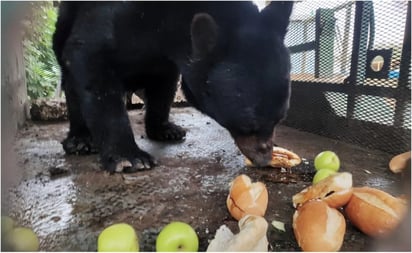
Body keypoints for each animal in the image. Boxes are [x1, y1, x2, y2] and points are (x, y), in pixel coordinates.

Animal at [53, 0, 294, 173]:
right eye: (247, 125)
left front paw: (165, 129)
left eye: (279, 119)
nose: (264, 159)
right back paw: (80, 140)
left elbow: (165, 85)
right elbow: (89, 56)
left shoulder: (166, 58)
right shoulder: (109, 15)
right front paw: (130, 158)